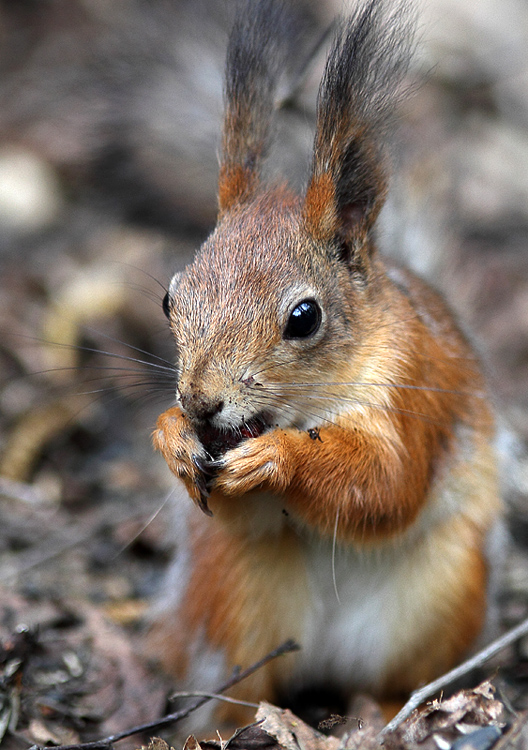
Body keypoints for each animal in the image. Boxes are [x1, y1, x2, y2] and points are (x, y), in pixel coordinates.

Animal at [148, 0, 504, 728]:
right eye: (171, 298)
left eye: (304, 318)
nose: (200, 403)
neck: (305, 404)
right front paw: (172, 436)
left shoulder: (412, 392)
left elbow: (388, 484)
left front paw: (279, 458)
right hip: (234, 594)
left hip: (441, 594)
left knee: (402, 674)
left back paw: (384, 708)